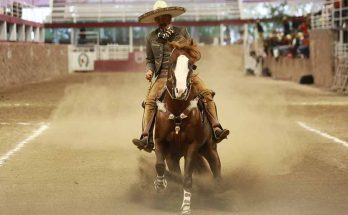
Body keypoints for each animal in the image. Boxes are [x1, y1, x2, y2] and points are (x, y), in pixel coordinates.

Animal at [152, 37, 220, 214]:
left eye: (192, 65)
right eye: (171, 63)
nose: (181, 91)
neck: (177, 111)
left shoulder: (193, 146)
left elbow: (188, 178)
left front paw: (186, 206)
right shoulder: (160, 142)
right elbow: (160, 166)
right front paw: (160, 185)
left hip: (209, 149)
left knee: (217, 170)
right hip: (175, 156)